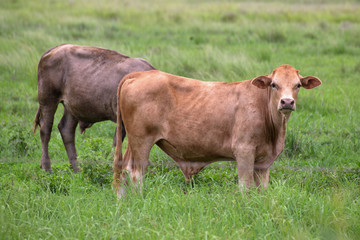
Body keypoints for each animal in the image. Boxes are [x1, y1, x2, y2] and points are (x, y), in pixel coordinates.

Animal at [34, 43, 156, 172]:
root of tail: (56, 48)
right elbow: (118, 143)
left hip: (72, 108)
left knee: (66, 129)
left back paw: (77, 169)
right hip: (48, 100)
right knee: (45, 130)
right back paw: (47, 167)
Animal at [112, 64, 320, 198]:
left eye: (298, 85)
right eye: (274, 84)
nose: (287, 102)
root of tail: (139, 75)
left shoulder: (264, 161)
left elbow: (262, 189)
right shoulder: (244, 151)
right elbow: (246, 187)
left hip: (132, 142)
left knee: (123, 169)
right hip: (142, 140)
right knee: (136, 173)